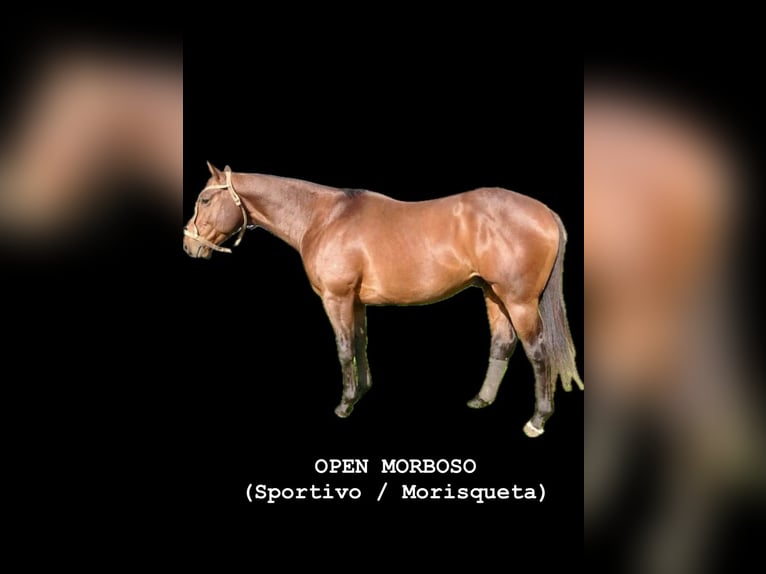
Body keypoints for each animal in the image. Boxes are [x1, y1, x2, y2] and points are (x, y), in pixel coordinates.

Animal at [183, 162, 583, 436]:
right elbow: (360, 342)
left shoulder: (337, 298)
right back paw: (481, 399)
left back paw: (537, 419)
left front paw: (345, 405)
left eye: (205, 198)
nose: (189, 246)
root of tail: (546, 212)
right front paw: (361, 392)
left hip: (519, 301)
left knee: (537, 351)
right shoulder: (356, 302)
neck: (324, 218)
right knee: (502, 343)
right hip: (493, 295)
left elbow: (344, 347)